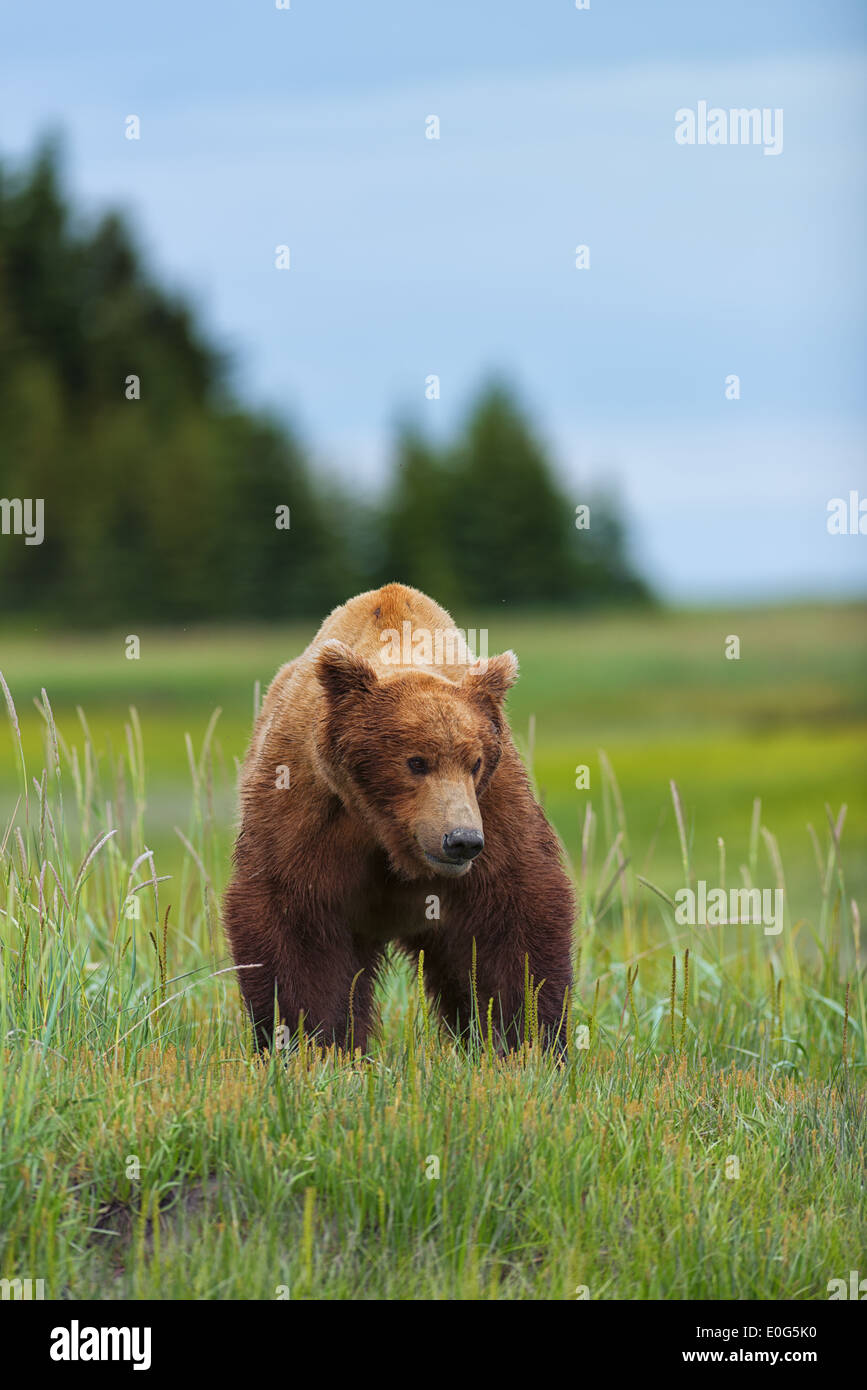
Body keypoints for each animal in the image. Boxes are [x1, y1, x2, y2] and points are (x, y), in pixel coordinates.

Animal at [223, 583, 575, 1050]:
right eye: (416, 761)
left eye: (475, 761)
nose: (461, 840)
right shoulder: (308, 807)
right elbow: (295, 921)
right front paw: (310, 1041)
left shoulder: (494, 810)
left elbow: (516, 917)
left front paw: (527, 1039)